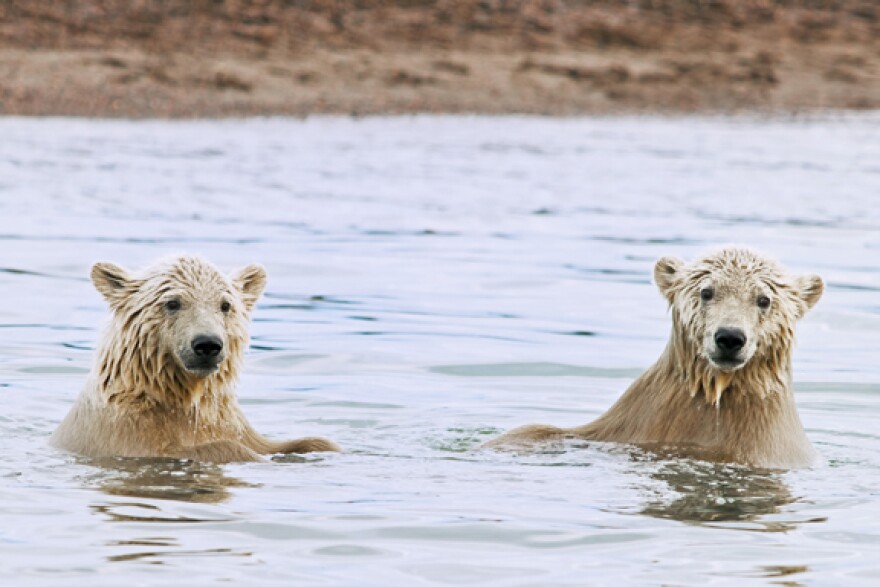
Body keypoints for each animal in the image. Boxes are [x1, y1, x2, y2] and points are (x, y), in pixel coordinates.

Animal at [51, 255, 340, 463]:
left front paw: (322, 447)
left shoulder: (228, 420)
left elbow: (292, 442)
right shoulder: (127, 432)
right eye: (172, 303)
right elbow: (218, 448)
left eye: (225, 305)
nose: (207, 345)